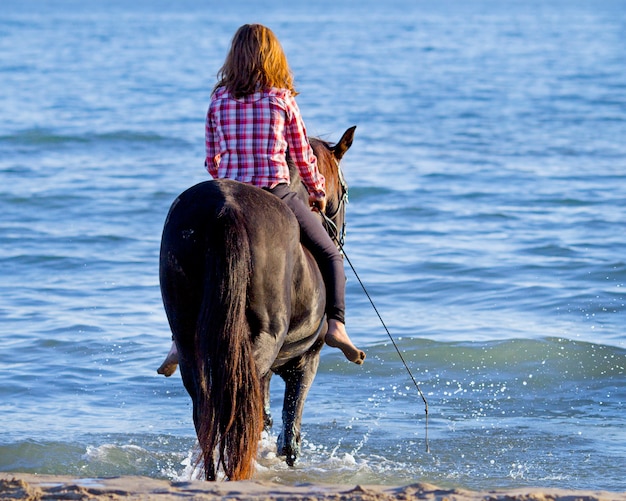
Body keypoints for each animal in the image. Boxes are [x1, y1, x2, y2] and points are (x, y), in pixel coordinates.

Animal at [158, 125, 356, 480]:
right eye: (345, 191)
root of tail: (226, 210)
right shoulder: (306, 362)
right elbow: (289, 435)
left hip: (190, 339)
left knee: (207, 405)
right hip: (261, 345)